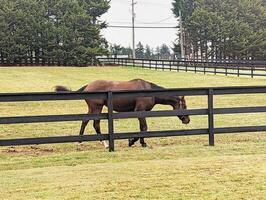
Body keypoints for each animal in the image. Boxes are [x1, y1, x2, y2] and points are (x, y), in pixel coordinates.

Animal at [55, 79, 190, 148]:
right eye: (185, 106)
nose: (187, 120)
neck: (148, 90)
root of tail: (88, 86)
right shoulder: (140, 111)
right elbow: (144, 128)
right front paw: (135, 142)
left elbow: (141, 128)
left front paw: (138, 142)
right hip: (96, 108)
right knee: (95, 124)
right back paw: (104, 144)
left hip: (93, 109)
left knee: (86, 121)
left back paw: (81, 141)